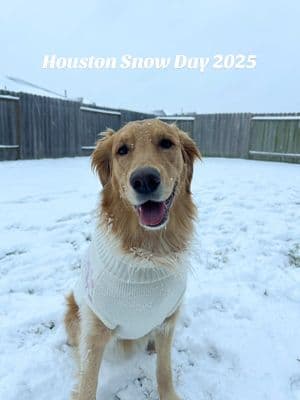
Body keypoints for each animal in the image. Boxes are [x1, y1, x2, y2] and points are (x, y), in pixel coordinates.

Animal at [65, 119, 200, 400]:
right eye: (122, 150)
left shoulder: (167, 321)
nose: (145, 180)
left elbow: (164, 369)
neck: (147, 255)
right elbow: (88, 382)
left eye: (167, 143)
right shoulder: (95, 329)